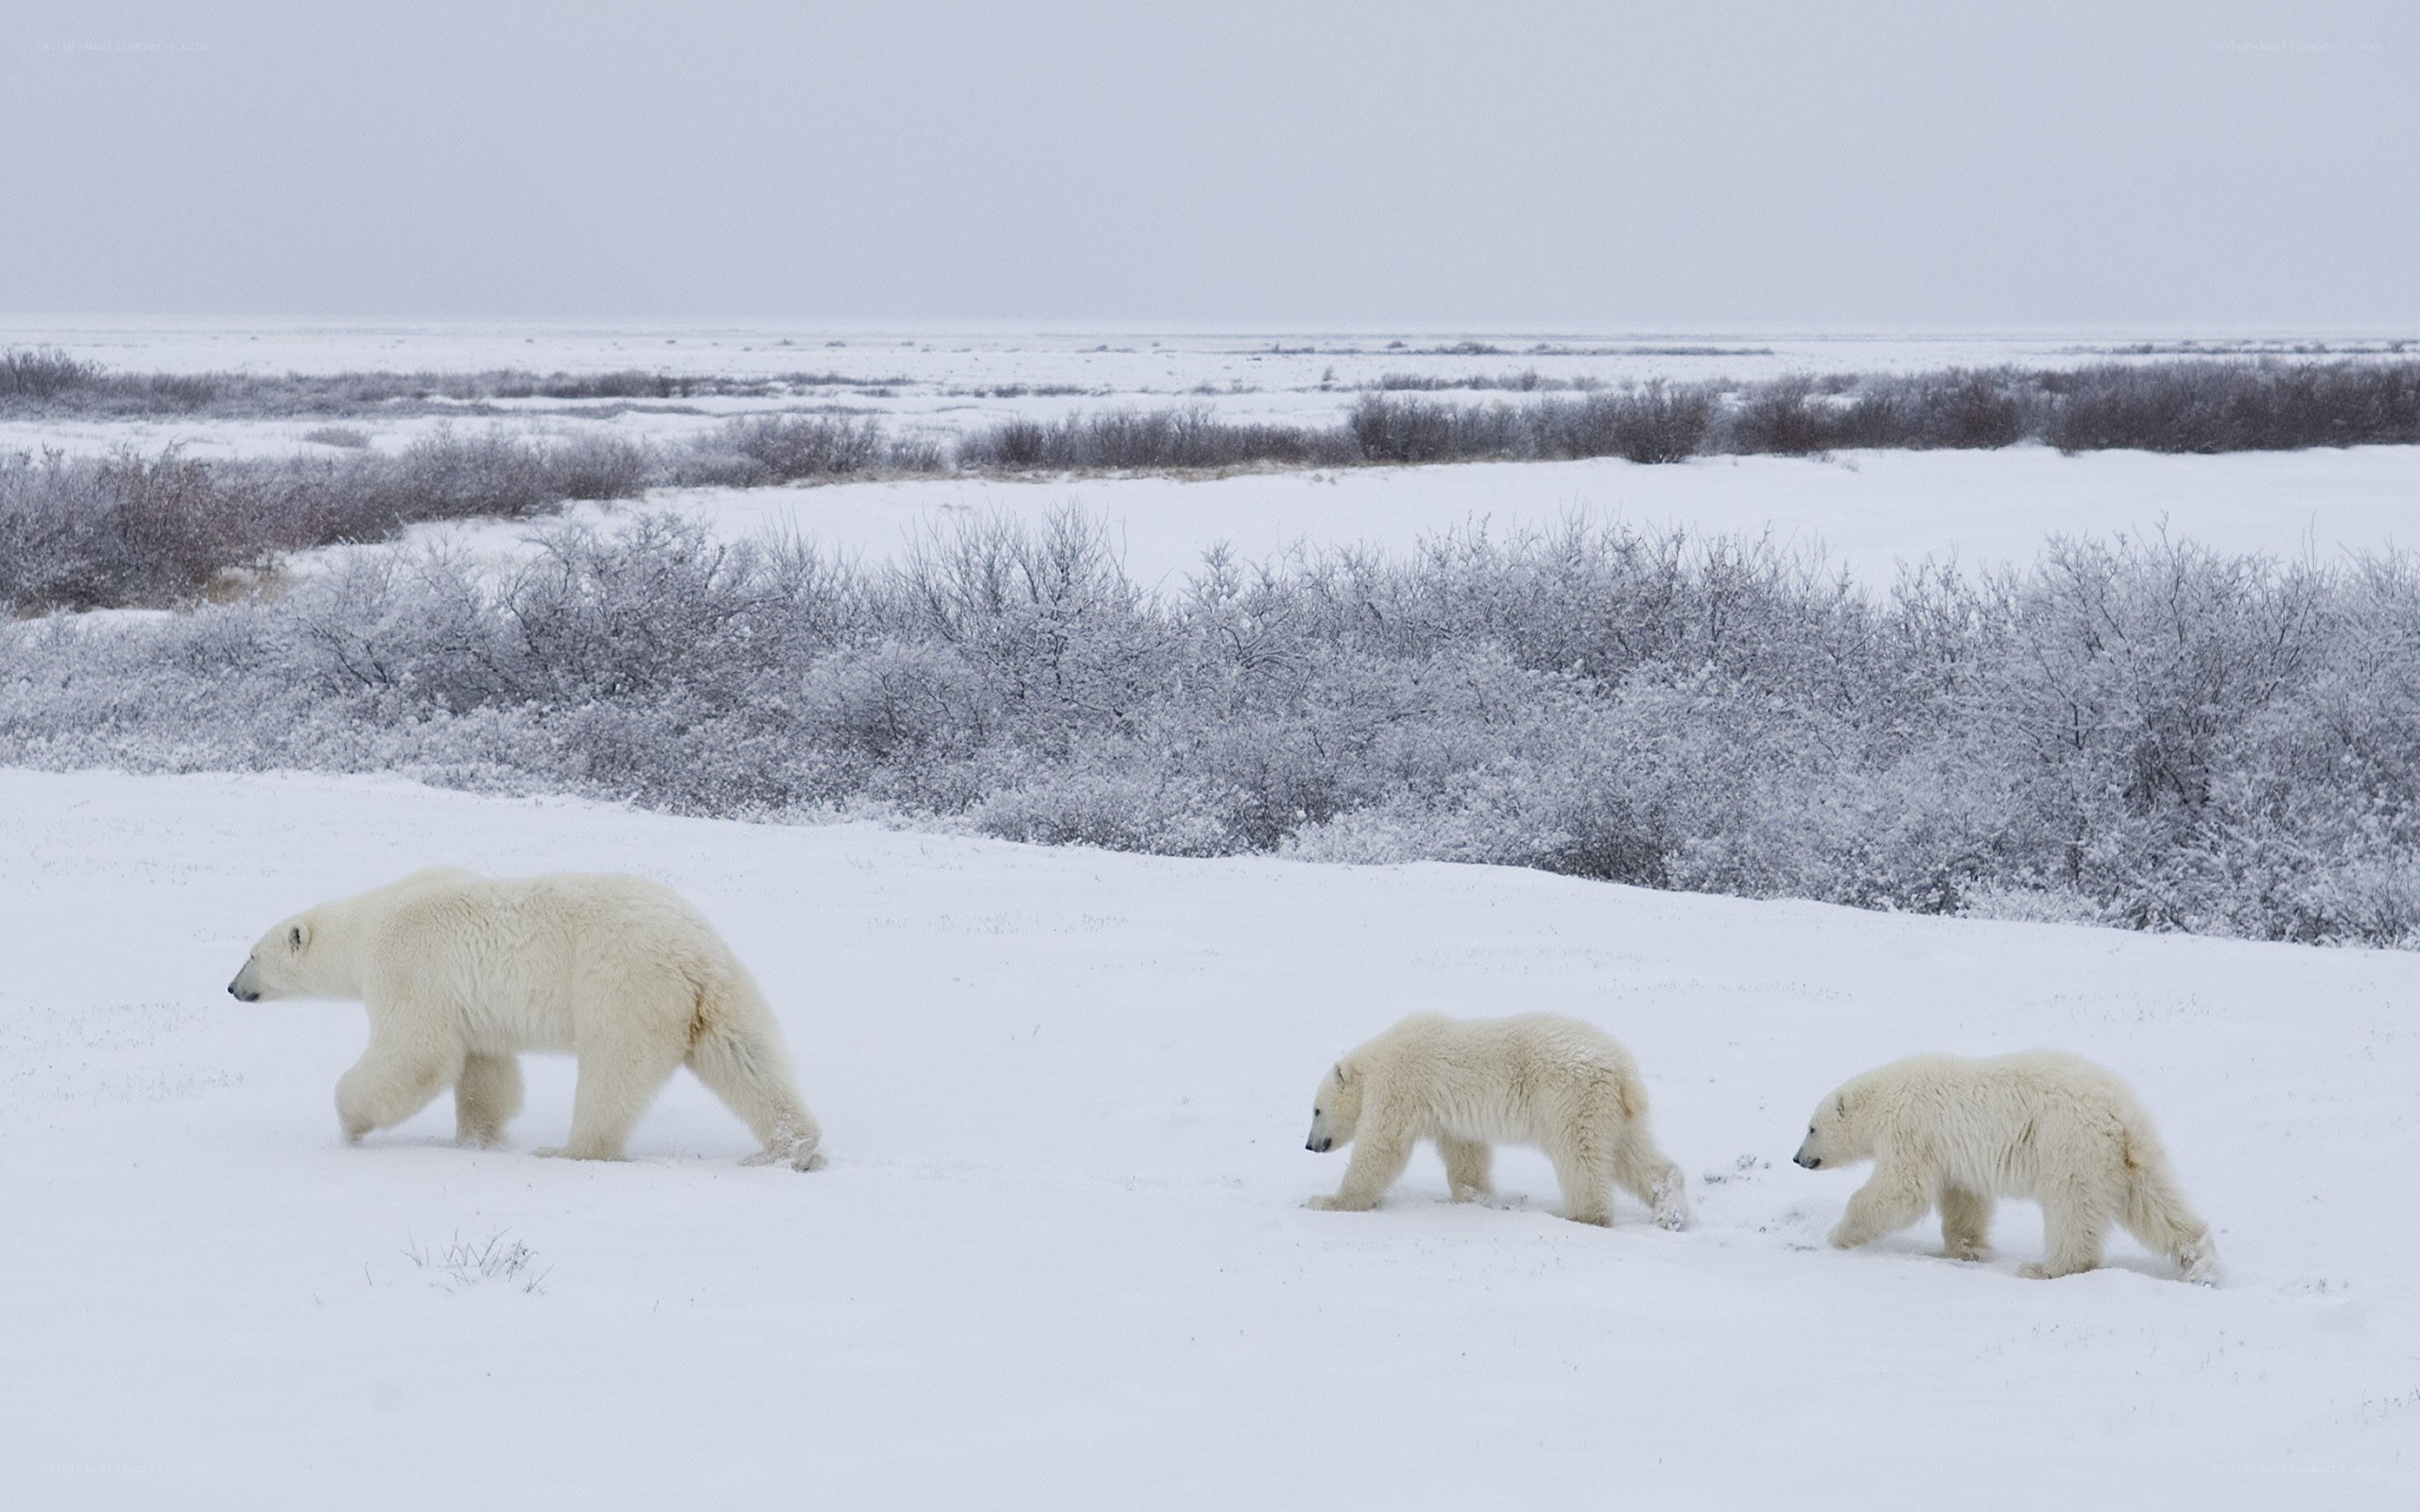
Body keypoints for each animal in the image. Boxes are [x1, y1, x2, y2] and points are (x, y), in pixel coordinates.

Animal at [228, 866, 825, 1170]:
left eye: (252, 953)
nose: (232, 988)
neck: (370, 922)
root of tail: (692, 952)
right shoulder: (471, 1003)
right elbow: (484, 1070)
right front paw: (477, 1140)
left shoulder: (411, 968)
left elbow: (415, 1052)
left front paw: (351, 1124)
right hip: (721, 991)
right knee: (747, 1059)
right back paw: (788, 1148)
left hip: (623, 986)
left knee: (613, 1072)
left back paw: (571, 1149)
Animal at [1304, 1011, 1688, 1229]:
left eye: (1316, 1110)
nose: (1309, 1145)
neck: (1379, 1057)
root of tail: (1622, 1070)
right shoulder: (1451, 1114)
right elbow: (1466, 1155)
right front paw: (1476, 1197)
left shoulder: (1400, 1086)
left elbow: (1381, 1146)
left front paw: (1328, 1201)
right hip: (1613, 1112)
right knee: (1634, 1155)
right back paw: (1670, 1211)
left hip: (1570, 1097)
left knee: (1578, 1154)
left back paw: (1576, 1214)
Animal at [1792, 1050, 2216, 1282]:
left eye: (1811, 1128)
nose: (1797, 1158)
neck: (1887, 1096)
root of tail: (2119, 1113)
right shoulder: (1952, 1153)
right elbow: (1964, 1200)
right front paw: (1964, 1249)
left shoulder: (1911, 1130)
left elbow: (1899, 1190)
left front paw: (1838, 1234)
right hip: (2127, 1154)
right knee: (2154, 1201)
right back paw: (2199, 1263)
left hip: (2068, 1144)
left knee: (2071, 1208)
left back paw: (2046, 1268)